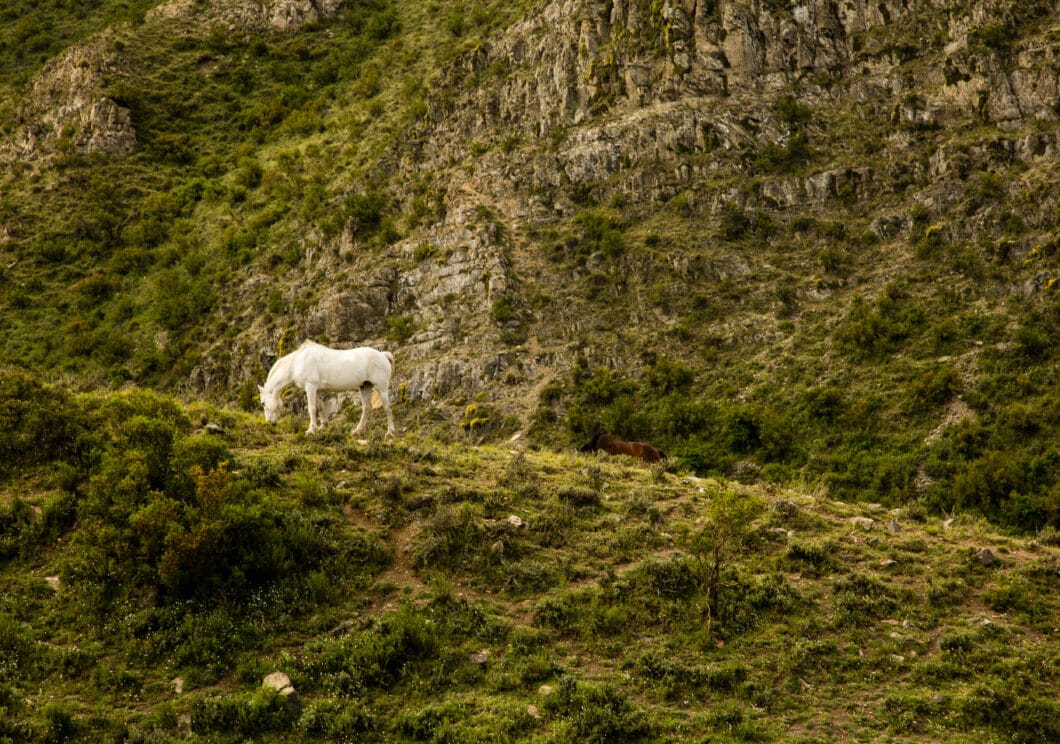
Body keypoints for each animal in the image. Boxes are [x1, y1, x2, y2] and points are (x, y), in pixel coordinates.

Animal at [258, 343, 396, 440]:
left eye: (263, 403)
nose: (270, 422)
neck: (296, 363)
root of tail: (383, 355)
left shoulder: (310, 386)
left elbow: (312, 408)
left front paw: (311, 430)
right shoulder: (316, 389)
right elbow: (320, 406)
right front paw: (323, 425)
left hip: (381, 388)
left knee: (387, 408)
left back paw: (389, 433)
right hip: (365, 387)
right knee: (366, 408)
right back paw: (357, 431)